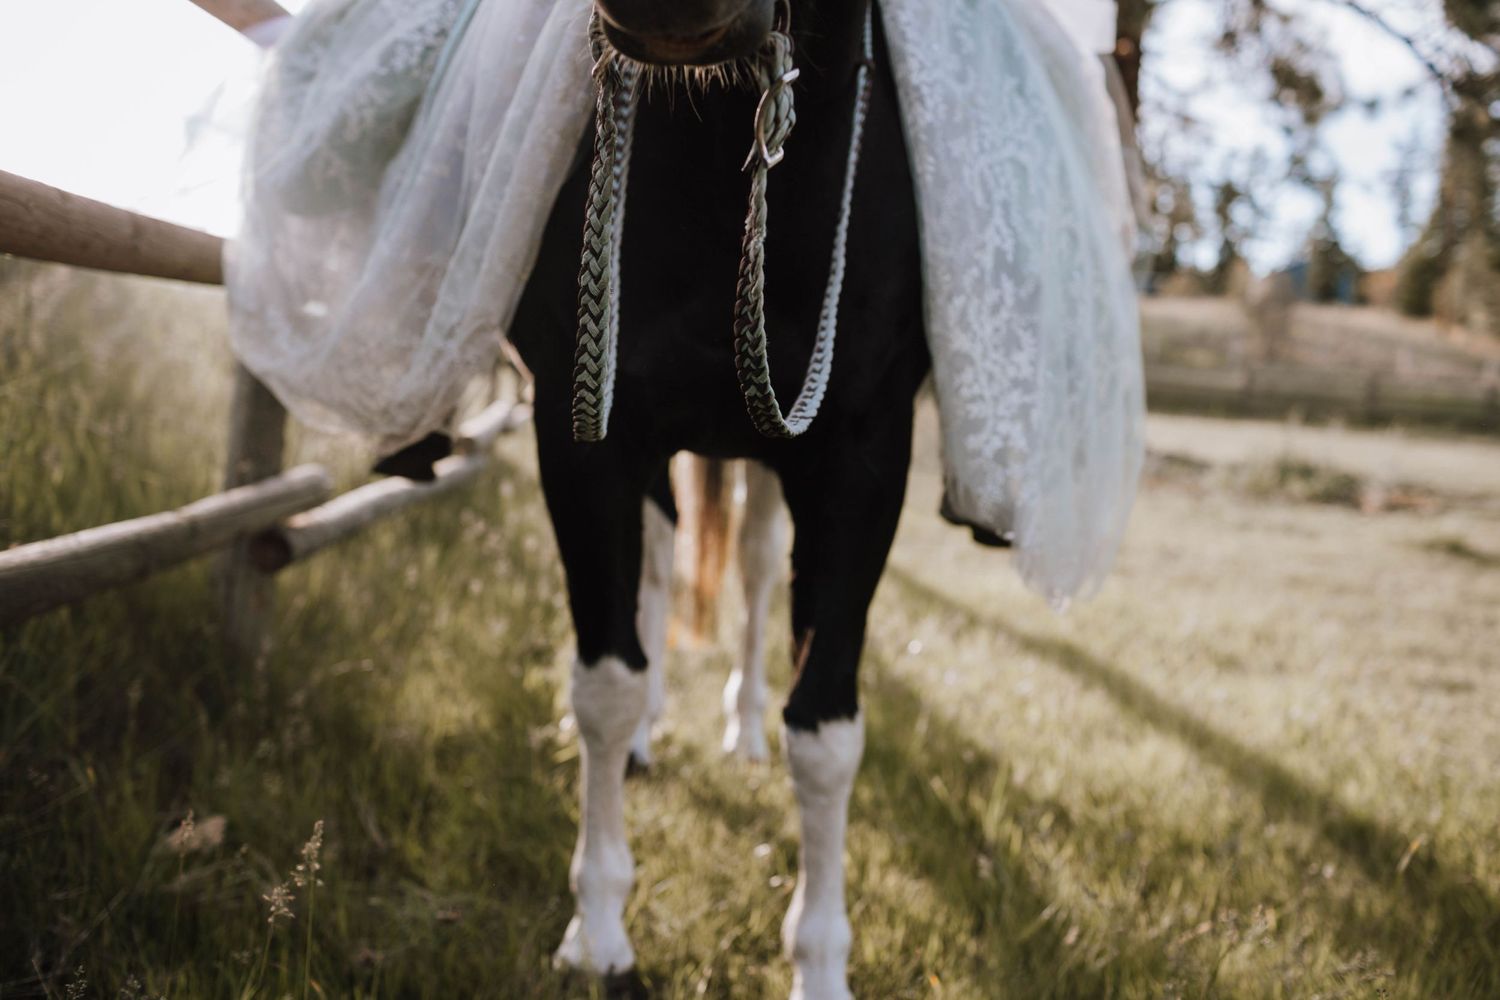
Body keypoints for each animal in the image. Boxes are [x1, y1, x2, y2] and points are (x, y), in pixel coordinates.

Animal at [507, 0, 926, 993]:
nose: (666, 5)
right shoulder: (585, 433)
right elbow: (605, 684)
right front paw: (597, 928)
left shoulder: (863, 462)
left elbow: (827, 734)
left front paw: (820, 965)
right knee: (659, 571)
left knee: (756, 568)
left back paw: (741, 725)